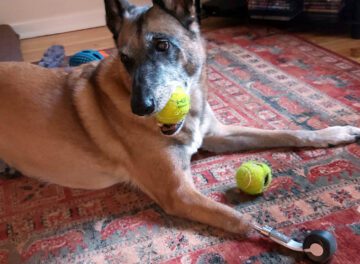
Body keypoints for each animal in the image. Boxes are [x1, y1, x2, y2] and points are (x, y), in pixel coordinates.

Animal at [0, 0, 360, 235]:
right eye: (125, 59)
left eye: (162, 45)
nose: (140, 107)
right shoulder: (178, 192)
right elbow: (239, 219)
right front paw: (288, 241)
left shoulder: (218, 134)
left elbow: (284, 132)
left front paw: (333, 133)